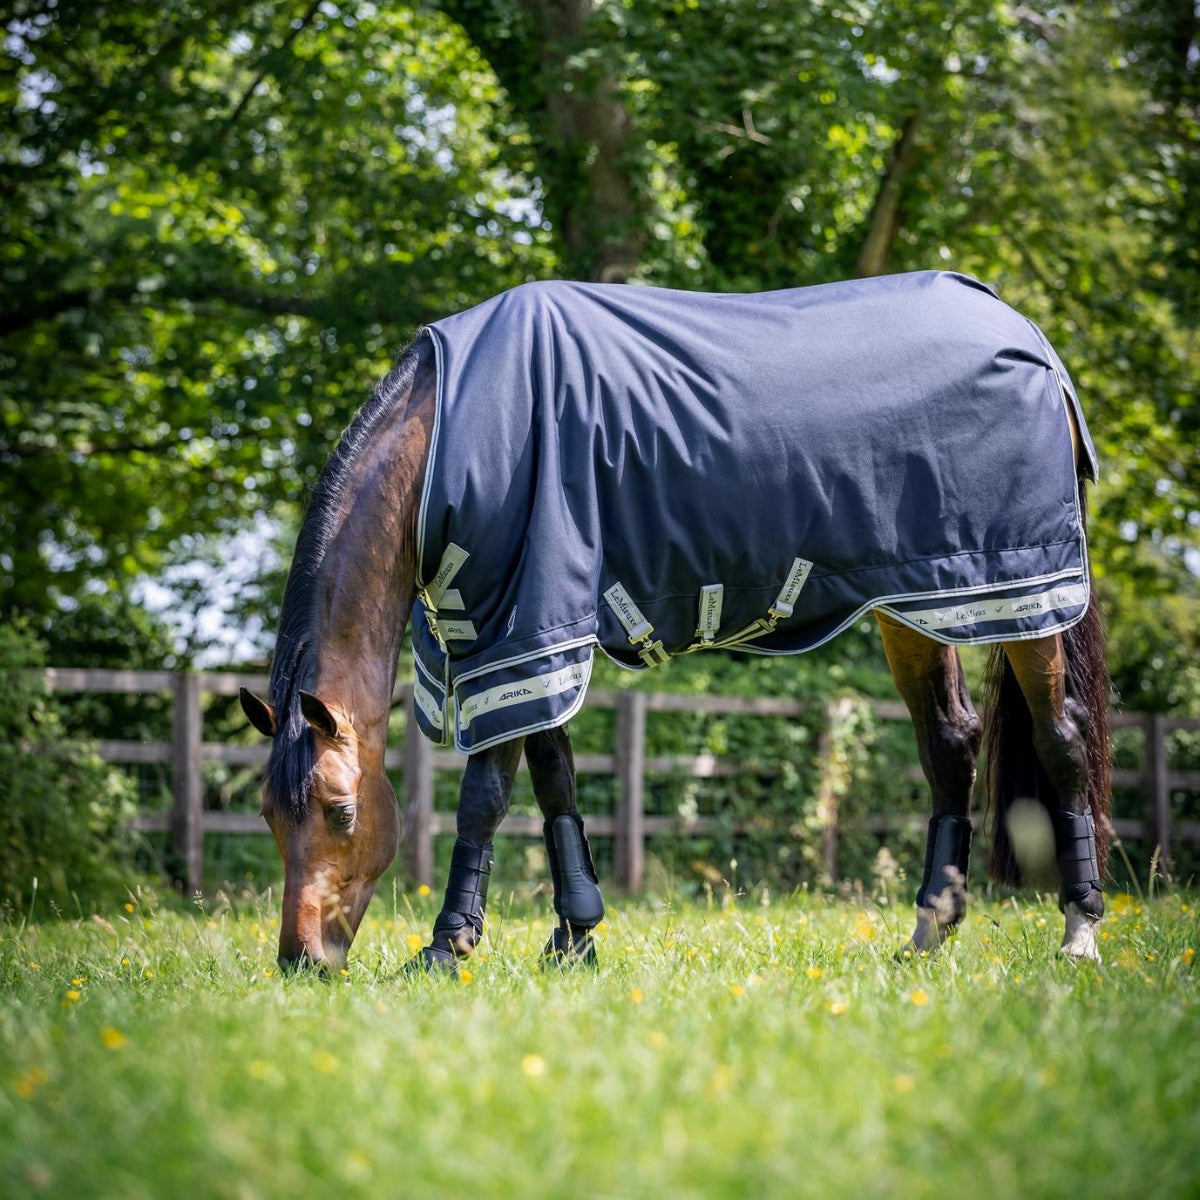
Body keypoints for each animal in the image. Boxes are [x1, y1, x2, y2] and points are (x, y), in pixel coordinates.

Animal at [239, 271, 1111, 973]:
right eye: (268, 816)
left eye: (342, 811)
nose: (302, 960)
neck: (450, 432)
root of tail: (1029, 341)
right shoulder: (534, 637)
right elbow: (554, 779)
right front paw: (574, 936)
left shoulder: (519, 629)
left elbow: (486, 794)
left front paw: (447, 946)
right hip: (923, 600)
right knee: (950, 743)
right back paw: (928, 932)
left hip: (1023, 594)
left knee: (1062, 735)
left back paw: (1080, 931)